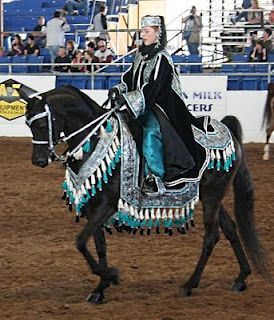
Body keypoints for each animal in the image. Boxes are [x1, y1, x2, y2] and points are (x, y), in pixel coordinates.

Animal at [19, 86, 270, 304]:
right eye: (28, 124)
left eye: (41, 123)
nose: (38, 160)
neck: (97, 139)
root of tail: (228, 132)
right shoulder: (93, 206)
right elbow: (96, 245)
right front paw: (100, 289)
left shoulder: (107, 204)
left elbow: (80, 241)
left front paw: (111, 276)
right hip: (213, 197)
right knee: (231, 229)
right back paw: (241, 277)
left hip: (212, 196)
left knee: (211, 237)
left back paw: (189, 284)